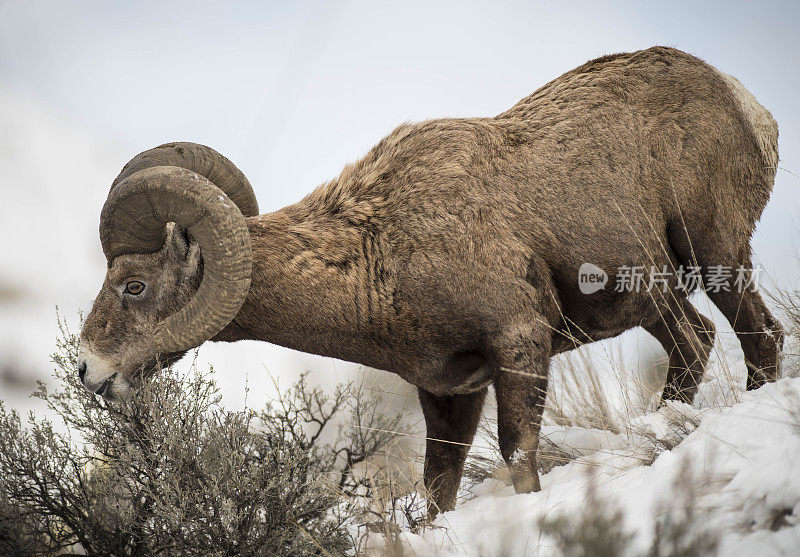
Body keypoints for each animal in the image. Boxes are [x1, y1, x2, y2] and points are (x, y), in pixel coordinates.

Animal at [79, 47, 780, 516]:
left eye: (133, 287)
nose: (89, 372)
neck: (379, 253)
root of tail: (748, 106)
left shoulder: (519, 347)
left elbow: (518, 455)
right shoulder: (449, 390)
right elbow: (438, 486)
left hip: (719, 258)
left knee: (761, 339)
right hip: (655, 300)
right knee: (694, 347)